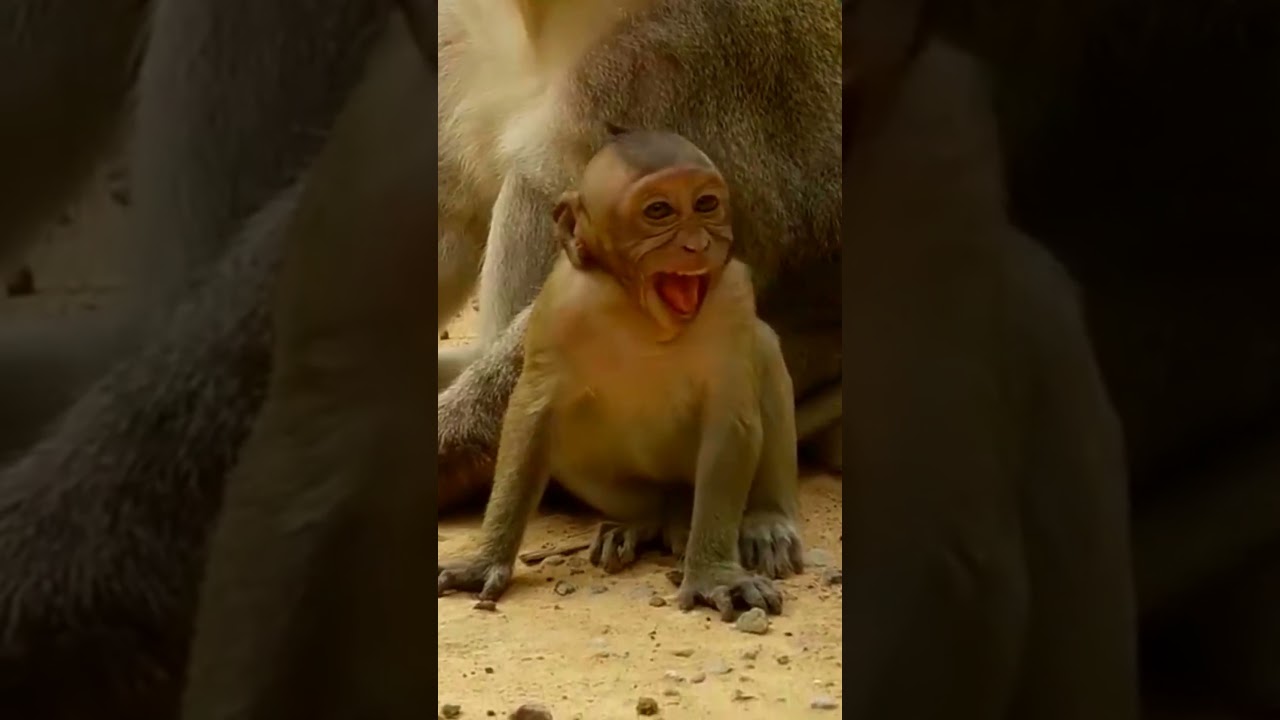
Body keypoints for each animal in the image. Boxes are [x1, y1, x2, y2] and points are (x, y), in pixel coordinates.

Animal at [437, 130, 803, 618]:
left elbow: (732, 417)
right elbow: (532, 413)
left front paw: (713, 573)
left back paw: (764, 520)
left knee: (762, 350)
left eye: (706, 204)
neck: (645, 313)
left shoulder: (732, 294)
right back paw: (641, 523)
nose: (697, 244)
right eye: (658, 211)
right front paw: (485, 561)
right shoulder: (559, 302)